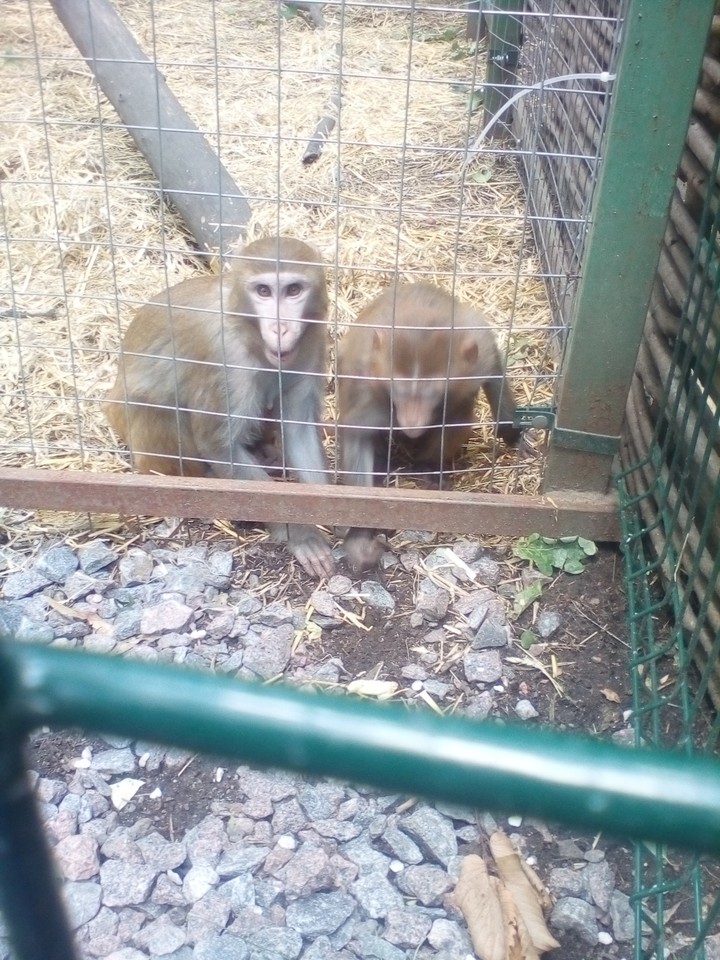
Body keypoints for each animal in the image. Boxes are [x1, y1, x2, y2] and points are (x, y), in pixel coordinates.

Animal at [104, 236, 335, 578]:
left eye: (294, 290)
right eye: (263, 291)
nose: (280, 327)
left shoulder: (314, 342)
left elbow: (298, 430)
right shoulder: (224, 358)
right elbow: (218, 446)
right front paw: (300, 534)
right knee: (155, 406)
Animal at [336, 282, 521, 572]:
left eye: (431, 394)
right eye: (399, 391)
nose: (412, 424)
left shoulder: (479, 353)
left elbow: (493, 373)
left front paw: (512, 431)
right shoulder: (365, 381)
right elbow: (357, 434)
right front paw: (360, 536)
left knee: (457, 414)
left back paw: (429, 466)